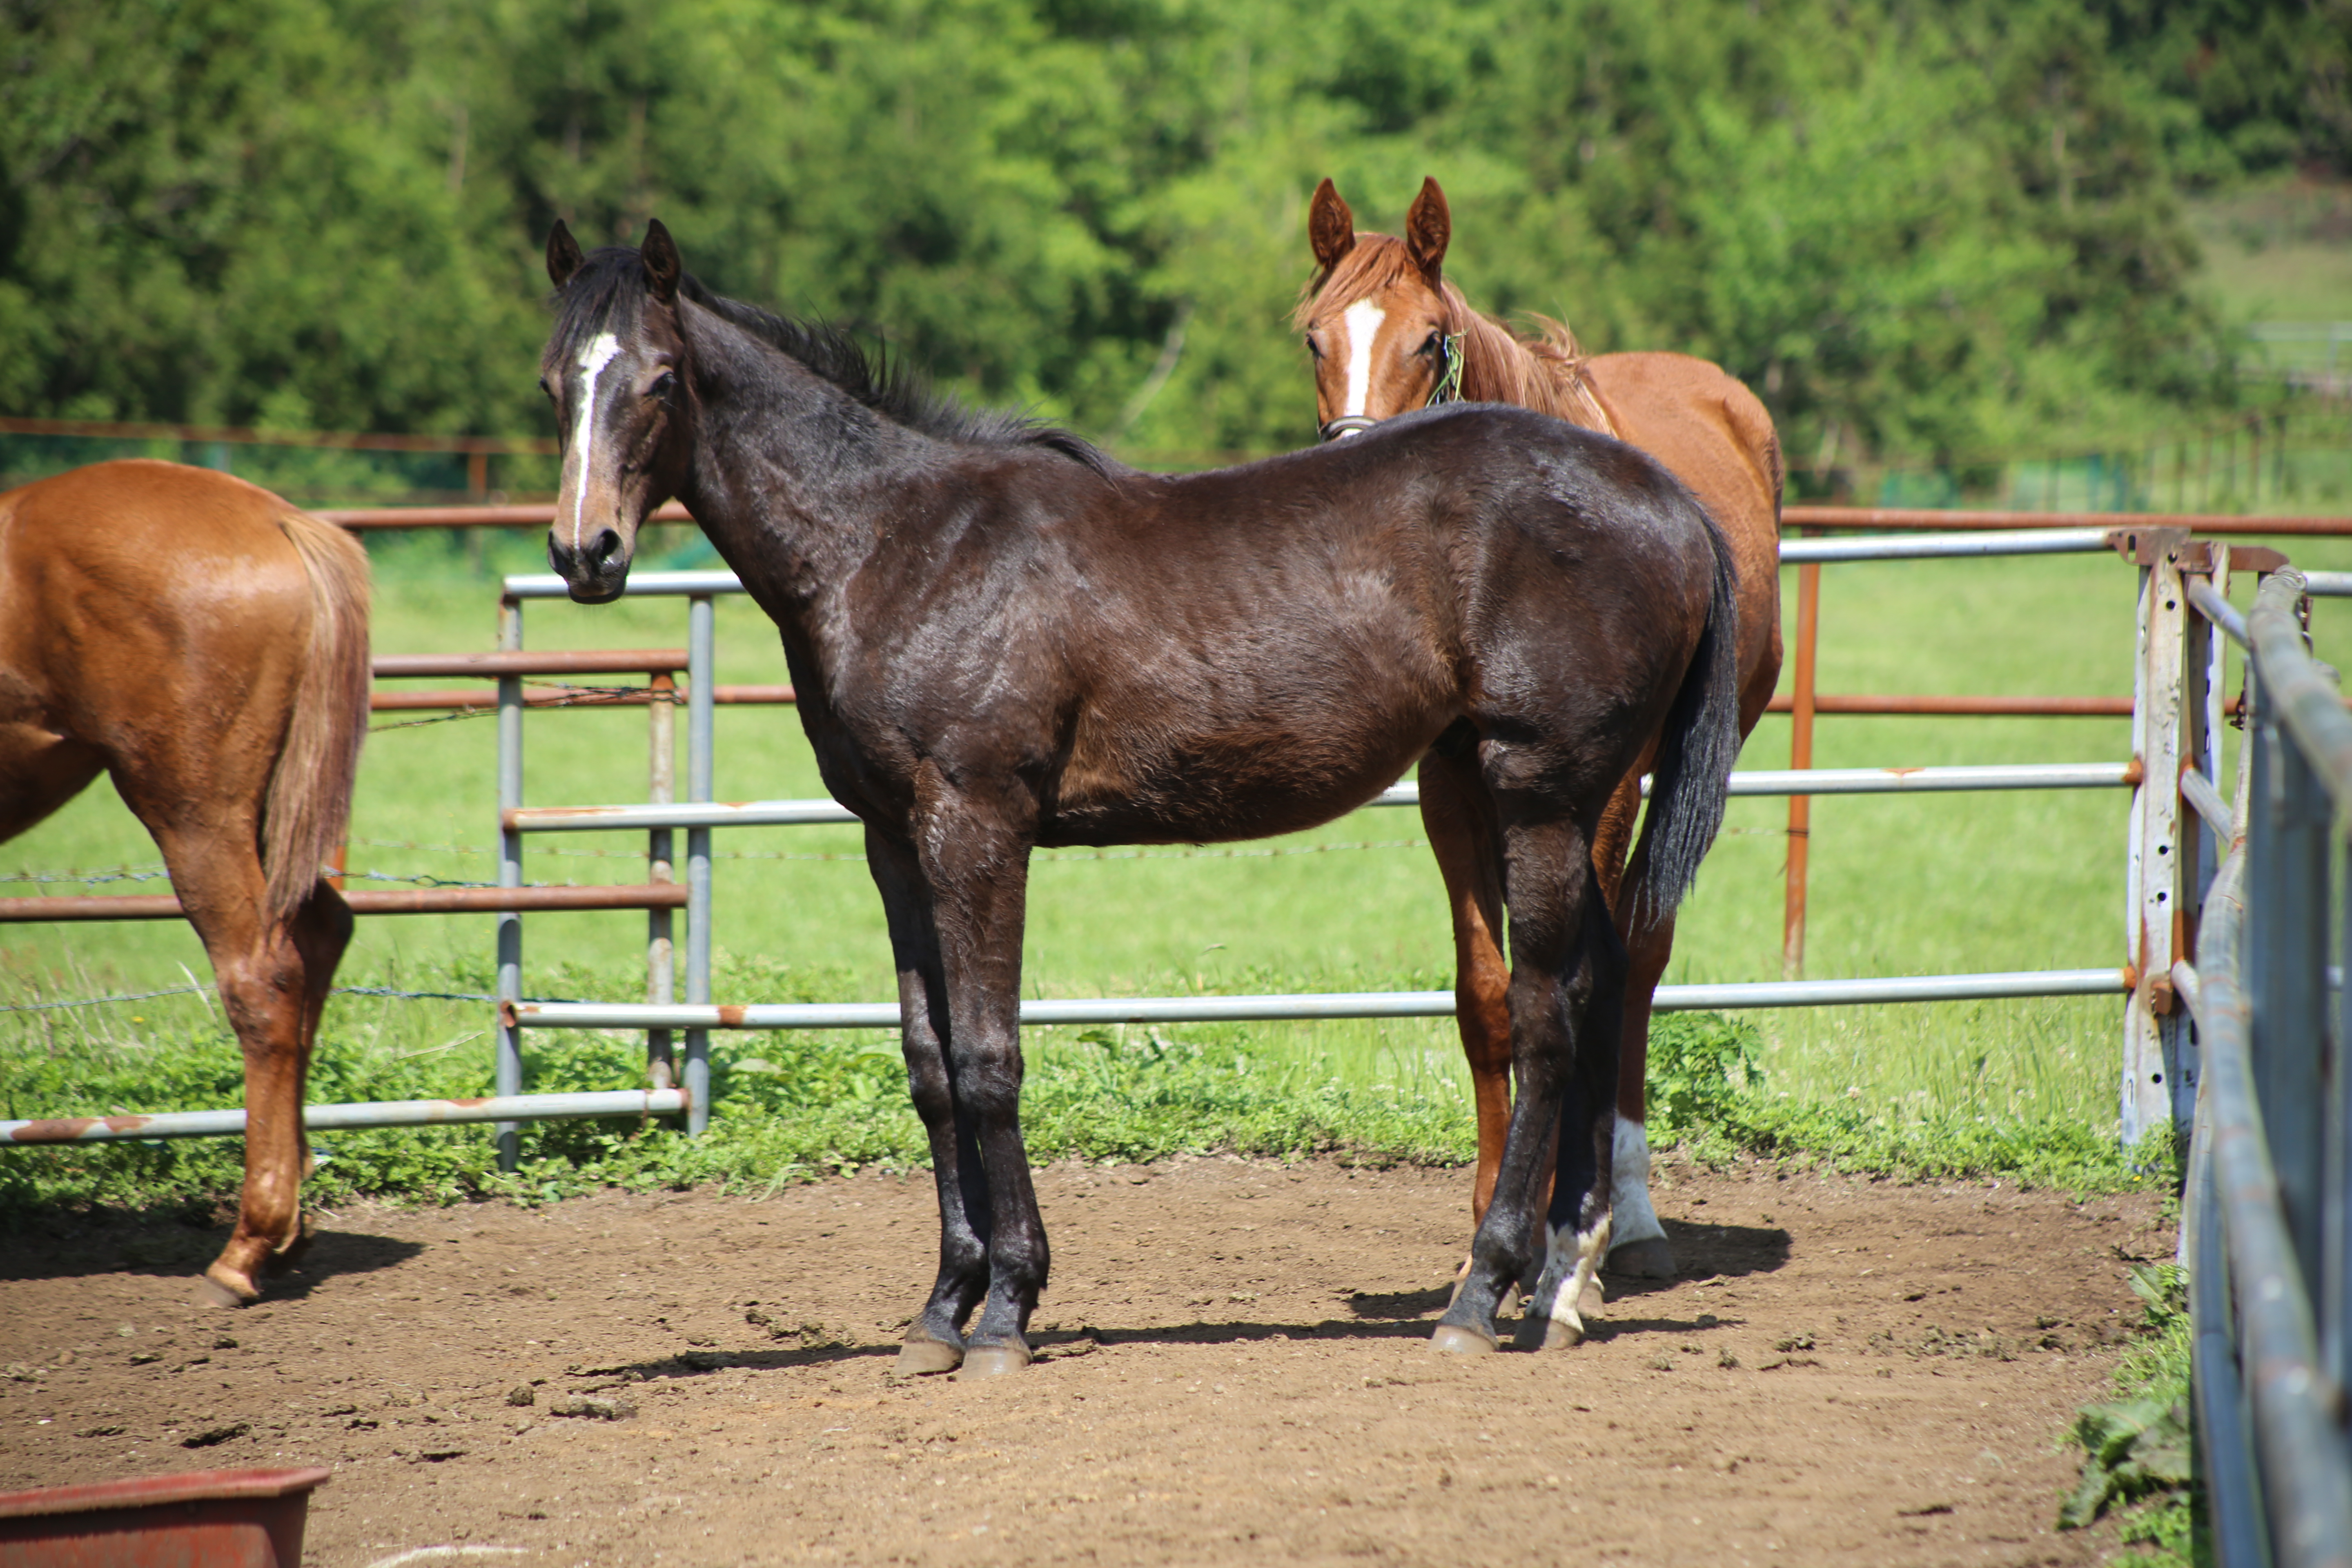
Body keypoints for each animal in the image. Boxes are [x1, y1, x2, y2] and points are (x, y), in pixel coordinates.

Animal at [0, 461, 367, 1307]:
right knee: (319, 935)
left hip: (194, 811)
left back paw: (247, 1250)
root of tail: (278, 520)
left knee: (261, 977)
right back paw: (289, 1230)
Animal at [541, 221, 1740, 1363]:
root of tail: (1671, 500)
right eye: (556, 383)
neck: (899, 545)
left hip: (1537, 796)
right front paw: (941, 1309)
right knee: (1594, 987)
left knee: (1545, 1015)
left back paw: (1483, 1292)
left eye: (659, 380)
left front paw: (1006, 1310)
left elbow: (988, 1059)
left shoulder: (978, 826)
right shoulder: (894, 840)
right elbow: (930, 1065)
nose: (583, 551)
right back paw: (1563, 1283)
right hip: (1540, 802)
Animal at [1307, 177, 1778, 1278]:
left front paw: (1561, 1226)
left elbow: (1573, 983)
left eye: (1430, 342)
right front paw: (1491, 1217)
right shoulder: (1447, 794)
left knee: (1639, 959)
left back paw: (1628, 1212)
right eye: (1311, 339)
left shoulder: (1595, 798)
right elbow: (1488, 997)